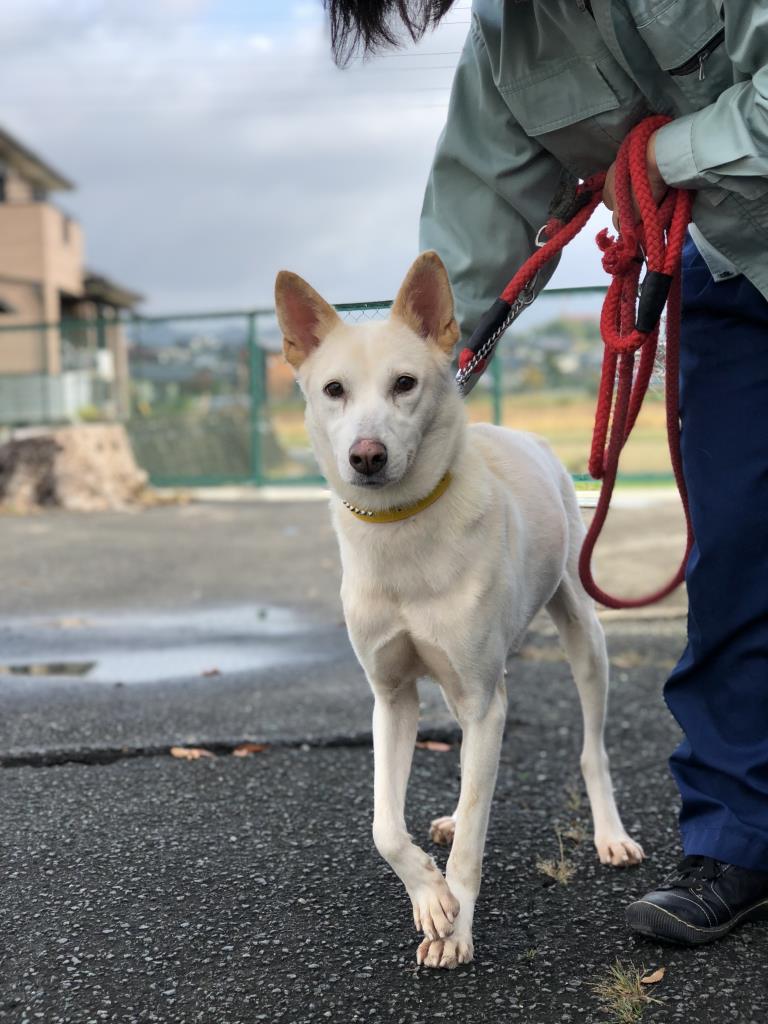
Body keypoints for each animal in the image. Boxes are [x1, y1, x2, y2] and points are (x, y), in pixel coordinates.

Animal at [275, 251, 644, 970]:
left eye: (405, 384)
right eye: (333, 389)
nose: (366, 457)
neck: (401, 530)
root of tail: (526, 435)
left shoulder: (480, 699)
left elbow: (475, 836)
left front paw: (458, 923)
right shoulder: (391, 697)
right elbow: (385, 826)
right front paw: (428, 894)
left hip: (582, 632)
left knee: (592, 751)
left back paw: (610, 834)